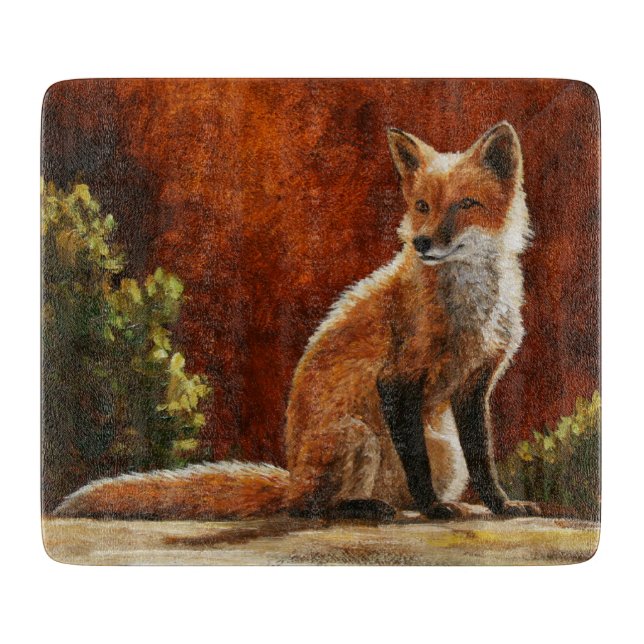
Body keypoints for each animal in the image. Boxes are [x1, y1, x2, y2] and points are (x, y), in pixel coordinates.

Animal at [53, 121, 539, 522]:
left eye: (466, 204)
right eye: (422, 205)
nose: (421, 242)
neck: (471, 306)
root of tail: (292, 478)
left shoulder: (475, 383)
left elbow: (484, 460)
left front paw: (501, 506)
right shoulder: (397, 379)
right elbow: (417, 466)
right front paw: (435, 509)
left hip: (443, 450)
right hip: (357, 436)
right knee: (310, 506)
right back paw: (365, 508)